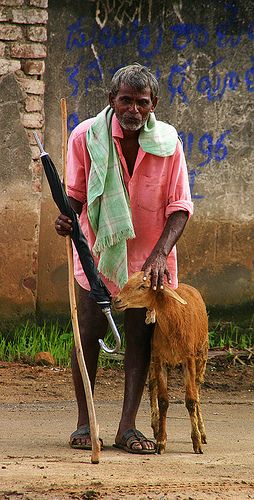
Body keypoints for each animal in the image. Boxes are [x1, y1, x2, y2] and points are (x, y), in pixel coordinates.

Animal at [113, 272, 208, 456]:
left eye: (143, 286)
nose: (117, 300)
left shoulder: (189, 359)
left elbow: (191, 400)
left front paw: (196, 443)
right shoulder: (160, 359)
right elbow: (163, 400)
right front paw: (161, 442)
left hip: (202, 355)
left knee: (198, 389)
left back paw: (202, 432)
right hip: (154, 359)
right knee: (152, 386)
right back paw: (156, 427)